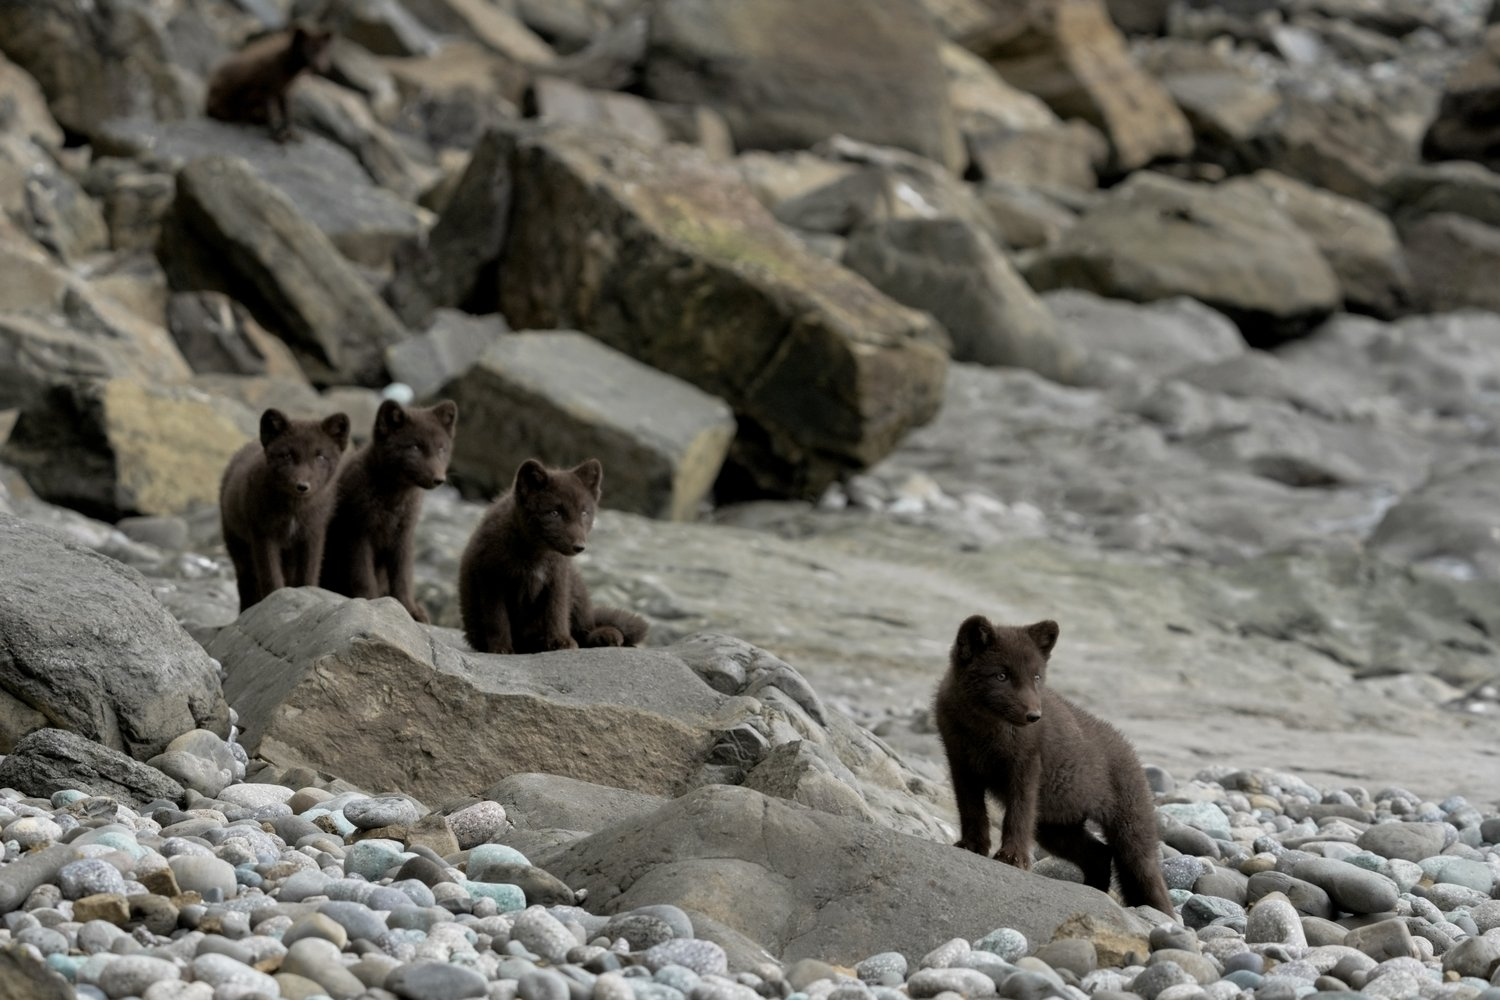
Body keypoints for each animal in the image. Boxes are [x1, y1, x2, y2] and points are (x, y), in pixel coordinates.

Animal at [453, 455, 648, 656]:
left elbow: (557, 612)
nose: (579, 546)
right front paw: (501, 648)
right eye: (554, 513)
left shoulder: (558, 578)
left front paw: (561, 642)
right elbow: (497, 619)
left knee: (586, 629)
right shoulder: (490, 580)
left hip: (577, 589)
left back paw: (606, 635)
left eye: (584, 513)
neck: (535, 556)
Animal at [930, 611, 1176, 917]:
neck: (984, 731)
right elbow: (971, 811)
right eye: (1001, 675)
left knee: (1145, 875)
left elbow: (1018, 815)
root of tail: (1131, 752)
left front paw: (1012, 858)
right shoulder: (961, 766)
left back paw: (1162, 917)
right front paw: (972, 846)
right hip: (1055, 827)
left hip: (1129, 835)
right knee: (1100, 853)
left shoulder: (1025, 767)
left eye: (1036, 677)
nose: (1034, 715)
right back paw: (1093, 893)